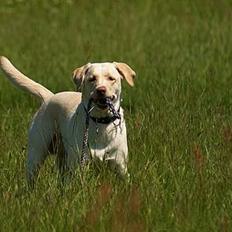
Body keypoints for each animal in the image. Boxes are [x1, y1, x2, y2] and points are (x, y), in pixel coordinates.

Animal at [0, 55, 136, 186]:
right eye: (92, 79)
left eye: (111, 78)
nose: (101, 90)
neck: (100, 122)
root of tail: (49, 98)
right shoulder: (80, 164)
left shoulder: (120, 166)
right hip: (37, 151)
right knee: (32, 175)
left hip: (62, 158)